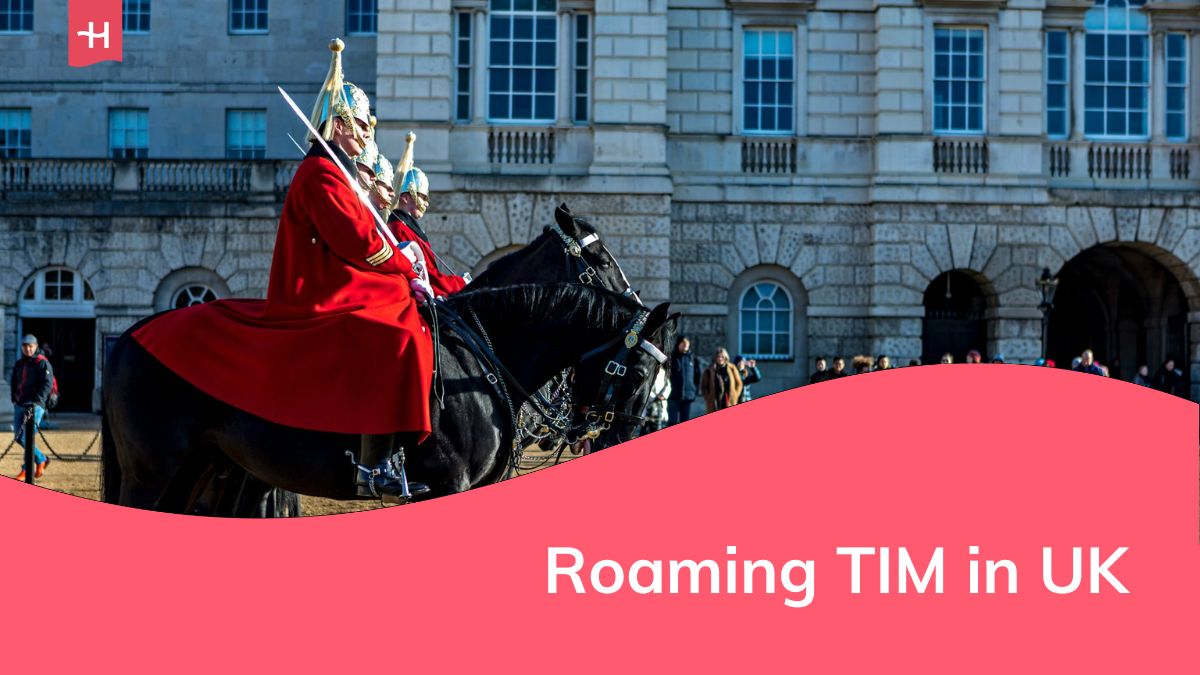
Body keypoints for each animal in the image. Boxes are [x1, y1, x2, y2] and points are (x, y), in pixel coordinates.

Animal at [102, 282, 676, 509]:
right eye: (638, 372)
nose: (621, 442)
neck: (480, 360)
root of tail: (132, 332)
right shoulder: (446, 484)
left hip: (208, 468)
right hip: (153, 474)